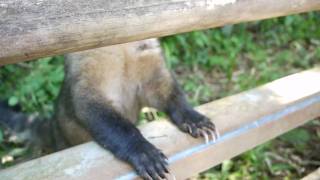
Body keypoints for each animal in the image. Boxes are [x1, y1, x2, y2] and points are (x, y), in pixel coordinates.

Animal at [54, 38, 220, 179]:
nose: (198, 121)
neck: (120, 46)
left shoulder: (147, 53)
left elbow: (167, 92)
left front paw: (197, 121)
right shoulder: (85, 68)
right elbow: (112, 122)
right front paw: (146, 154)